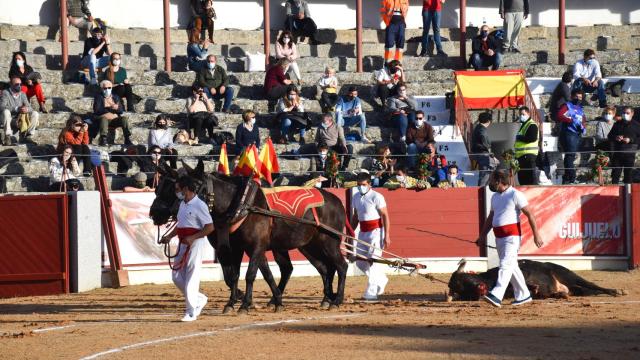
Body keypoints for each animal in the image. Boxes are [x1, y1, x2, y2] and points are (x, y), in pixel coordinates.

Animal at [149, 162, 348, 314]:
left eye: (194, 187)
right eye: (160, 188)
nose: (154, 213)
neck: (241, 205)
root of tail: (336, 200)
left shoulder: (255, 247)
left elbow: (251, 274)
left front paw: (245, 304)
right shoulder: (234, 248)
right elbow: (236, 275)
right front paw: (236, 302)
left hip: (328, 242)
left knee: (340, 266)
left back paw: (336, 300)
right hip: (308, 245)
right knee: (322, 269)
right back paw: (326, 298)